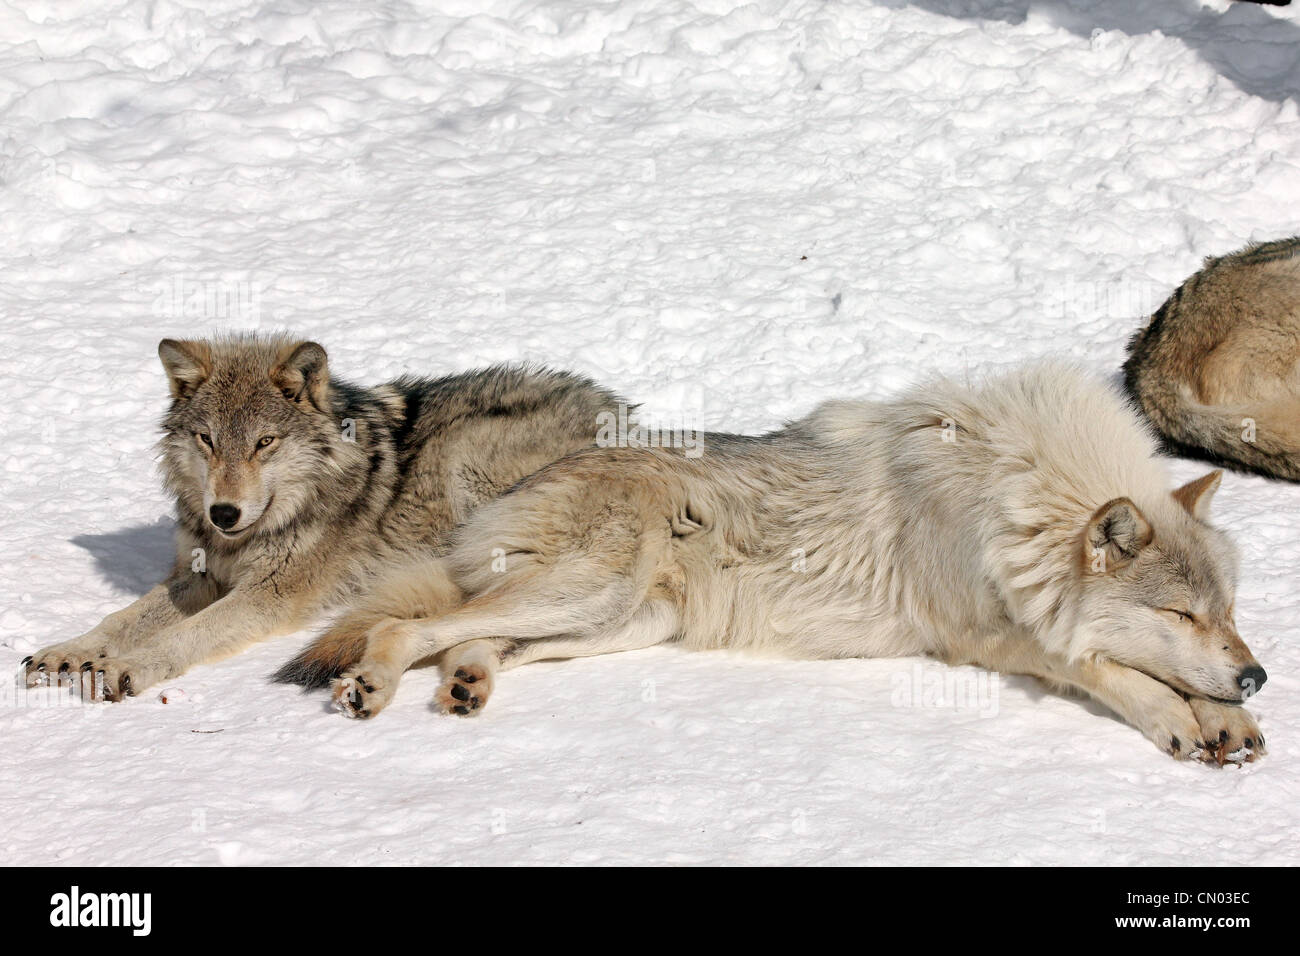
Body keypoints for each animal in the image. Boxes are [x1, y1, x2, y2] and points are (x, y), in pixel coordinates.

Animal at [22, 335, 621, 702]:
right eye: (207, 440)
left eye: (264, 443)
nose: (223, 513)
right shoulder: (198, 574)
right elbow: (118, 619)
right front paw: (67, 653)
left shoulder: (268, 595)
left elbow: (184, 635)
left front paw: (131, 666)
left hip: (468, 460)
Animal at [287, 361, 1268, 764]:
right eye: (1179, 614)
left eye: (1226, 610)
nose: (1257, 675)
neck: (1017, 496)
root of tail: (524, 481)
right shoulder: (984, 638)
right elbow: (1107, 666)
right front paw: (1184, 721)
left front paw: (1231, 720)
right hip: (586, 593)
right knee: (406, 624)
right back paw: (371, 685)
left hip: (615, 621)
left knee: (466, 642)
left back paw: (466, 686)